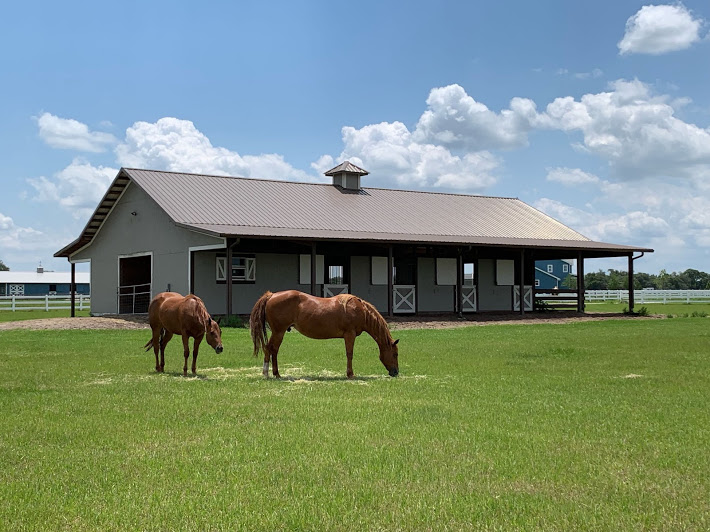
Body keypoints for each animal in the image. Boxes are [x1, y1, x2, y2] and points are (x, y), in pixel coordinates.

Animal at [249, 290, 399, 379]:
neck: (360, 310)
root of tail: (271, 295)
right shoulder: (349, 334)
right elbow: (349, 354)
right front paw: (350, 374)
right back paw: (267, 373)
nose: (396, 372)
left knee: (273, 350)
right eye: (395, 354)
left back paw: (276, 374)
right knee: (269, 349)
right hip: (278, 332)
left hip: (278, 333)